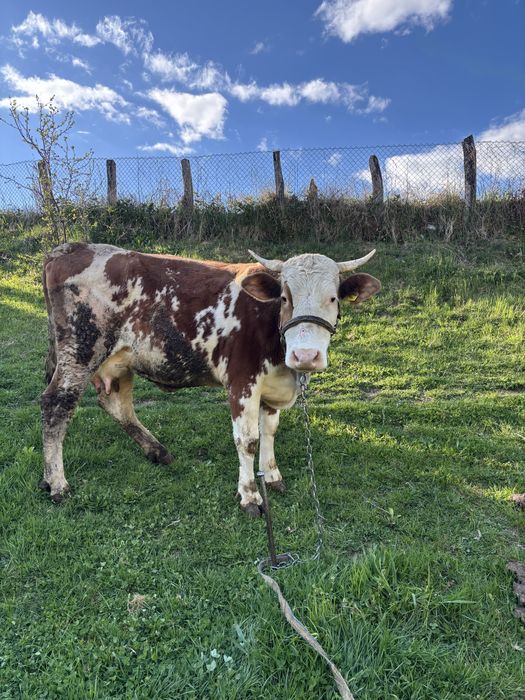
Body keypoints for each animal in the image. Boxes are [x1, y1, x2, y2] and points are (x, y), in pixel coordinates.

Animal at [41, 243, 381, 515]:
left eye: (334, 298)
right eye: (284, 298)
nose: (306, 355)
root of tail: (70, 248)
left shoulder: (271, 387)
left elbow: (269, 431)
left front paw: (272, 476)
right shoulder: (242, 382)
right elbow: (248, 440)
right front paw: (250, 496)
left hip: (120, 359)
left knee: (117, 404)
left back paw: (156, 451)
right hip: (80, 352)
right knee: (56, 406)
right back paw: (57, 483)